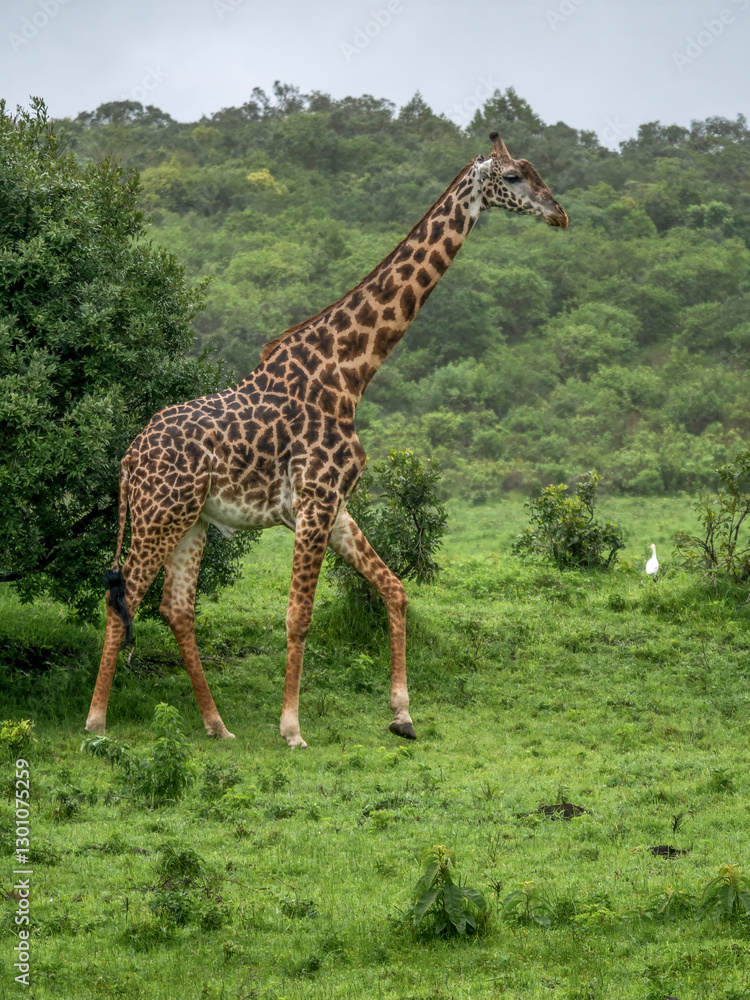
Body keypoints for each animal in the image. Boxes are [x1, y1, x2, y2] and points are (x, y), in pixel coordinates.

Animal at [86, 133, 568, 748]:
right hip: (158, 515)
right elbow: (299, 616)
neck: (349, 374)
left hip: (191, 520)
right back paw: (98, 723)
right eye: (512, 177)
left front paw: (403, 714)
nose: (560, 214)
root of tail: (127, 461)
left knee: (177, 608)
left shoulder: (334, 504)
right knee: (122, 598)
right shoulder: (314, 501)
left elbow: (394, 589)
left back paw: (217, 725)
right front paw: (292, 728)